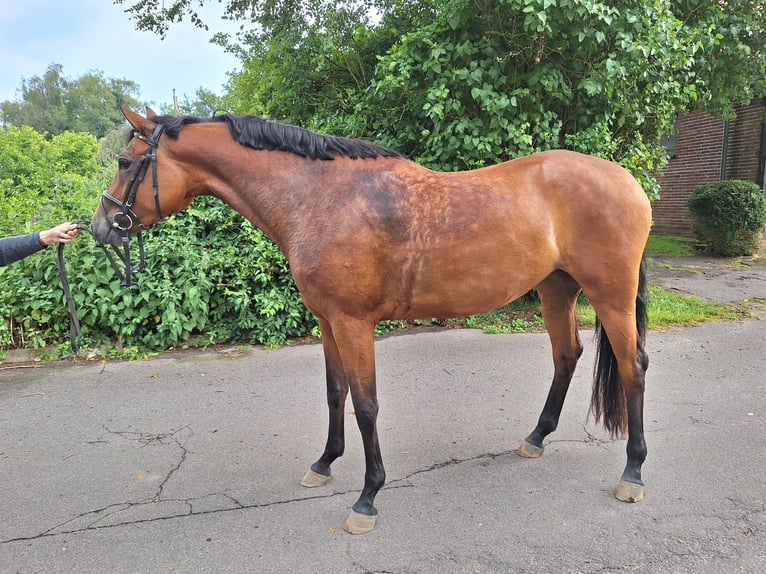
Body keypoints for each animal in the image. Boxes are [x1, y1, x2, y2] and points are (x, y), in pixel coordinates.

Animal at [91, 106, 656, 536]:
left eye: (125, 161)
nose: (100, 227)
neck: (318, 197)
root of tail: (626, 180)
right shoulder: (327, 321)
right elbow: (335, 392)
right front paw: (324, 463)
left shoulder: (354, 323)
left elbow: (365, 404)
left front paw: (367, 497)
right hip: (556, 288)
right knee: (567, 355)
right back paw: (536, 438)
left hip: (609, 295)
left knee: (633, 368)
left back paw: (632, 472)